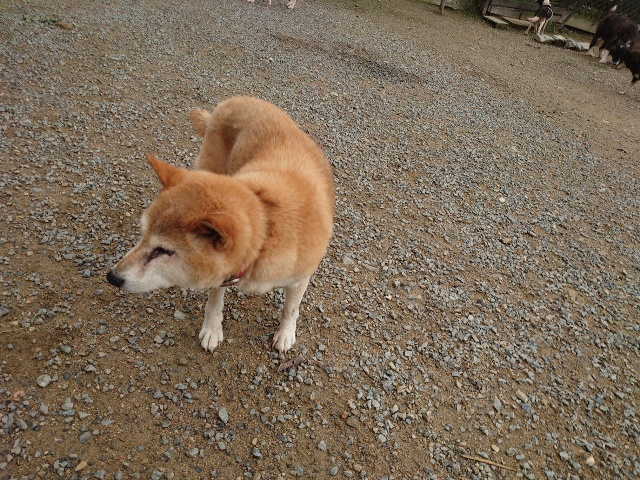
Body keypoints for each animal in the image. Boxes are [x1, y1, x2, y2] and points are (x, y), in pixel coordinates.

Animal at [106, 96, 334, 353]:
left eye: (163, 250)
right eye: (142, 234)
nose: (112, 277)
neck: (266, 228)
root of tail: (233, 100)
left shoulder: (300, 277)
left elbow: (291, 308)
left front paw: (285, 333)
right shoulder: (223, 271)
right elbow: (214, 301)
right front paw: (212, 330)